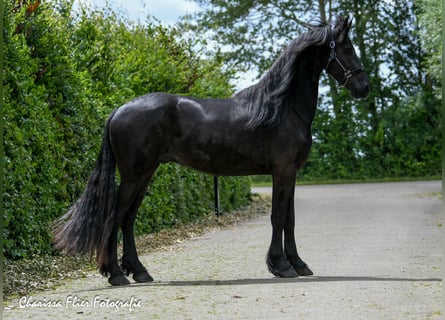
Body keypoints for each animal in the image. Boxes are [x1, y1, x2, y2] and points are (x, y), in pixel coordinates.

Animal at [53, 15, 370, 284]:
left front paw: (298, 264)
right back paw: (116, 275)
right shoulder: (282, 171)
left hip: (144, 176)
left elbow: (289, 219)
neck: (282, 109)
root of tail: (119, 109)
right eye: (347, 47)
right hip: (134, 176)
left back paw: (139, 272)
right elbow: (278, 217)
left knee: (128, 220)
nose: (364, 87)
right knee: (115, 217)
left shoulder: (290, 174)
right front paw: (281, 266)